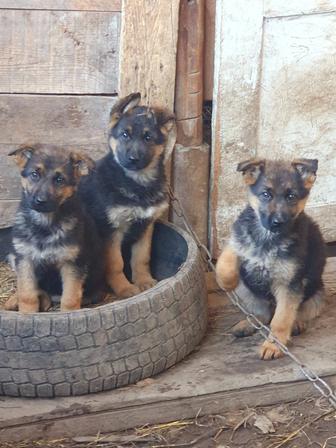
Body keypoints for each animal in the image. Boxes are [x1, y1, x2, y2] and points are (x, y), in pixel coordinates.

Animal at [4, 145, 102, 314]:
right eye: (35, 174)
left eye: (59, 180)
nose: (40, 201)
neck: (44, 224)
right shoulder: (25, 259)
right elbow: (27, 293)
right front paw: (27, 314)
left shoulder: (72, 264)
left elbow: (70, 297)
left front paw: (69, 314)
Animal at [80, 93, 177, 300]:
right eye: (125, 134)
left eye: (148, 138)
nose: (133, 159)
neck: (137, 183)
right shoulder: (111, 230)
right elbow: (116, 263)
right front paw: (124, 288)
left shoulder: (146, 226)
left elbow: (141, 258)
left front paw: (144, 281)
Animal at [215, 158, 326, 360]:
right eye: (265, 195)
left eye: (291, 197)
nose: (278, 222)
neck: (267, 238)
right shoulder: (239, 239)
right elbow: (228, 256)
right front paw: (226, 281)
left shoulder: (289, 285)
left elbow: (281, 320)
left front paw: (273, 346)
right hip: (245, 290)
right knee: (262, 314)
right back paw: (248, 323)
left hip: (315, 296)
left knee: (294, 313)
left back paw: (296, 324)